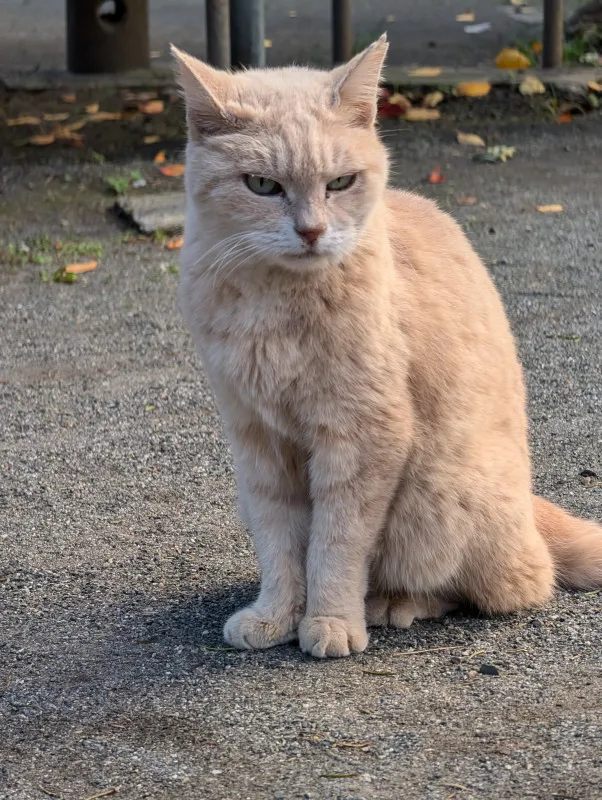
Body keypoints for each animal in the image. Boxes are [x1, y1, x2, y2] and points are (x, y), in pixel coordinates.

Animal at [170, 37, 600, 660]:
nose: (311, 231)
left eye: (340, 183)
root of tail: (530, 502)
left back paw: (393, 603)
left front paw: (329, 620)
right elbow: (281, 543)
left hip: (438, 497)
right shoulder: (258, 439)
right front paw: (277, 615)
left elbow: (335, 544)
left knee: (508, 585)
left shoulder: (364, 435)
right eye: (262, 186)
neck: (277, 301)